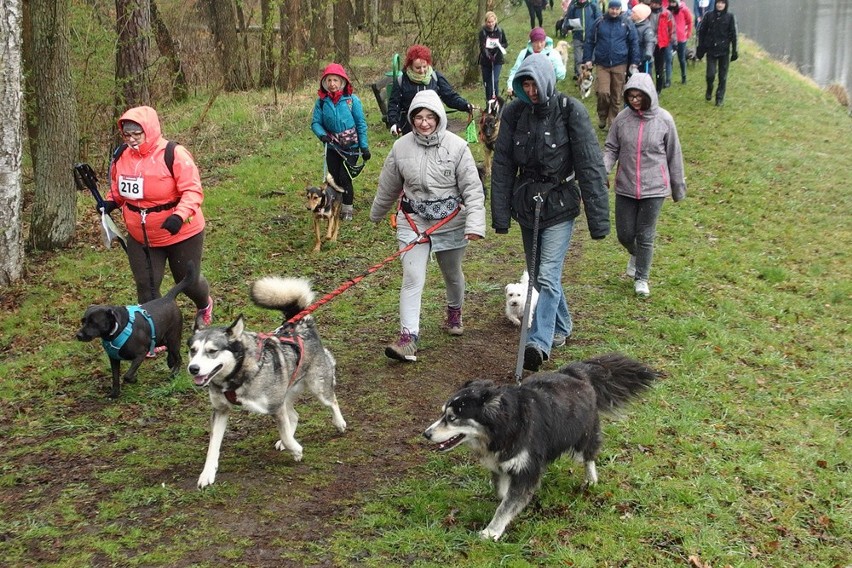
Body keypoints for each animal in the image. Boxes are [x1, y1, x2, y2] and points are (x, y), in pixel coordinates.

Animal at [75, 260, 197, 398]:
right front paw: (114, 394)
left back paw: (174, 373)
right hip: (162, 337)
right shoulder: (114, 359)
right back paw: (170, 361)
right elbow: (115, 377)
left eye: (93, 323)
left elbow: (127, 375)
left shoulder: (140, 354)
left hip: (173, 338)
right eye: (83, 321)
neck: (116, 331)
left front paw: (133, 379)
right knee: (169, 351)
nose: (78, 335)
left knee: (178, 357)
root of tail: (168, 298)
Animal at [424, 352, 660, 540]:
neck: (504, 426)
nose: (426, 434)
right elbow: (503, 495)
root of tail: (576, 372)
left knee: (589, 456)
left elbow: (506, 506)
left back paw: (591, 479)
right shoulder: (501, 465)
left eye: (453, 418)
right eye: (443, 413)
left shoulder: (527, 469)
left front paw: (491, 532)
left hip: (584, 435)